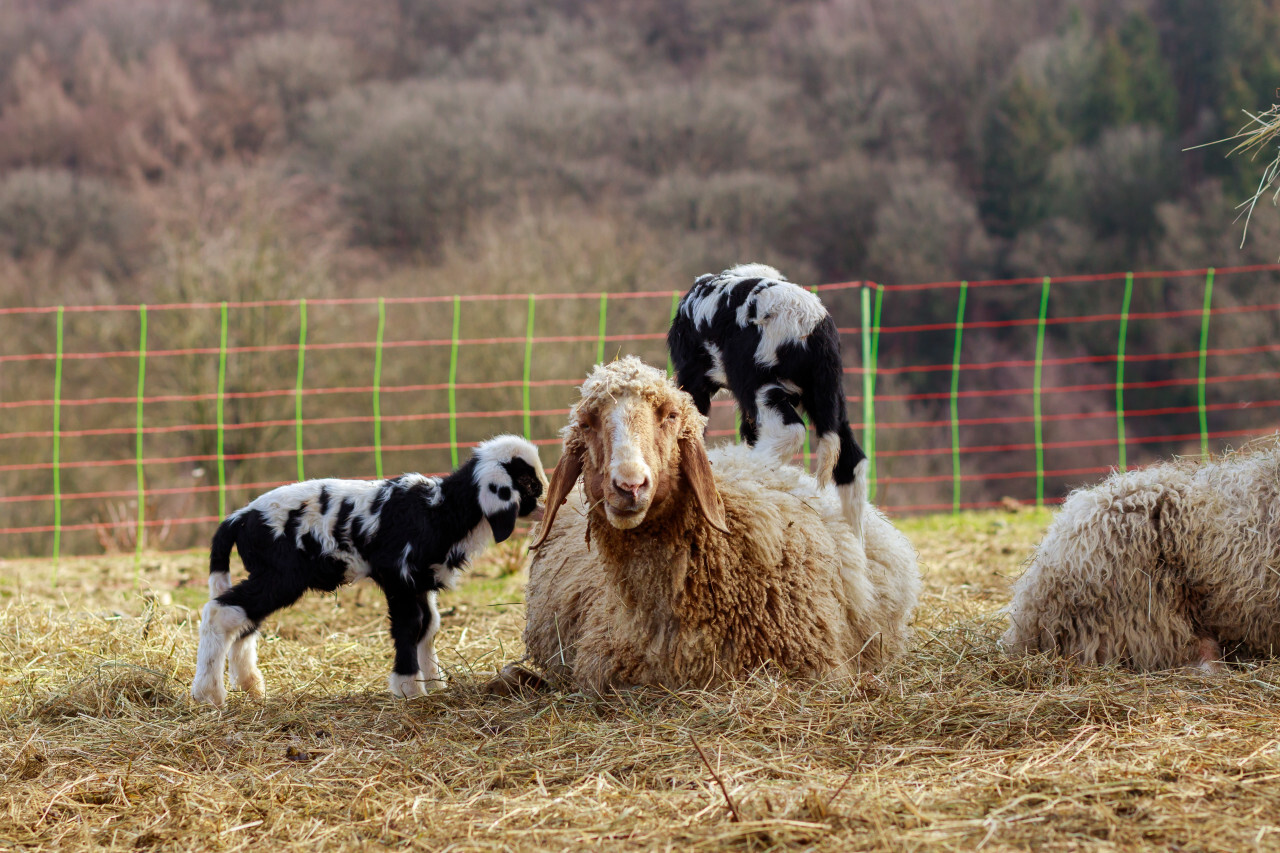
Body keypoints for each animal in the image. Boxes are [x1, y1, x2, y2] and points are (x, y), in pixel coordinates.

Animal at [190, 435, 545, 701]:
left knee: (243, 621)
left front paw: (433, 683)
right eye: (529, 484)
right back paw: (209, 694)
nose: (545, 505)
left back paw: (250, 685)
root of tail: (239, 518)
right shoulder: (398, 576)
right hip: (281, 576)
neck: (440, 510)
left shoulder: (420, 581)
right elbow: (410, 625)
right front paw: (408, 688)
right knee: (221, 611)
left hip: (269, 576)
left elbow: (429, 625)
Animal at [665, 262, 865, 535]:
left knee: (789, 432)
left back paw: (743, 467)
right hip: (828, 395)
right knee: (851, 461)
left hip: (757, 380)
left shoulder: (693, 376)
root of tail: (814, 328)